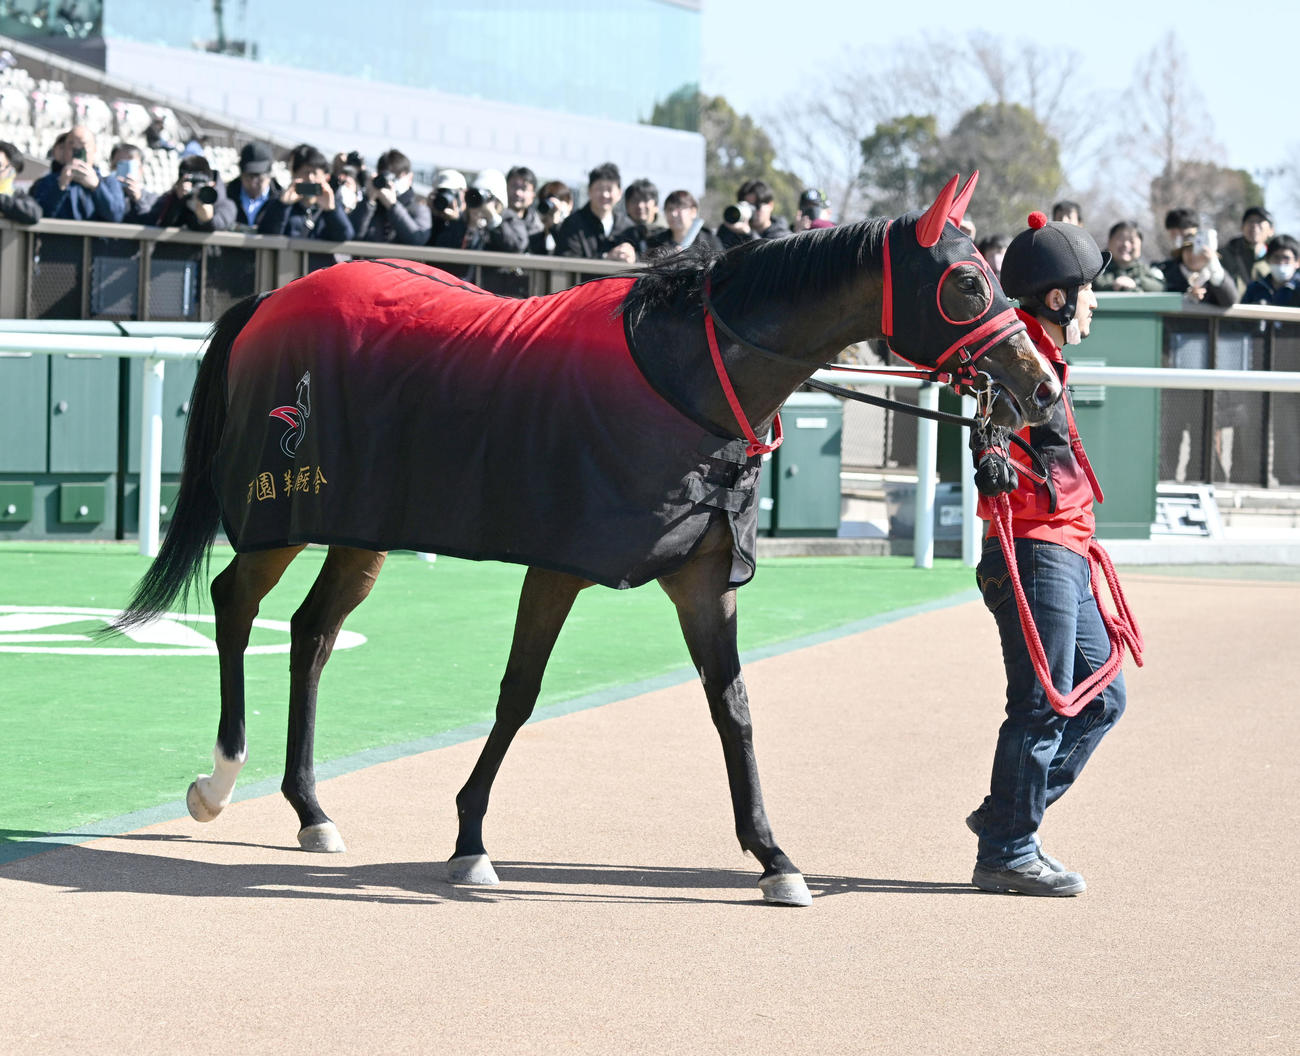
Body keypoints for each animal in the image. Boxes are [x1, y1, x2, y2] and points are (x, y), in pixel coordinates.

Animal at [111, 173, 1062, 907]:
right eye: (968, 283)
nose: (1043, 386)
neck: (686, 374)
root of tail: (272, 296)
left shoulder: (702, 574)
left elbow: (733, 707)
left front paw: (774, 857)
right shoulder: (558, 563)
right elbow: (518, 694)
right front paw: (470, 842)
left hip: (361, 526)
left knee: (311, 634)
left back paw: (311, 810)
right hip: (283, 514)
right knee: (236, 603)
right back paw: (217, 781)